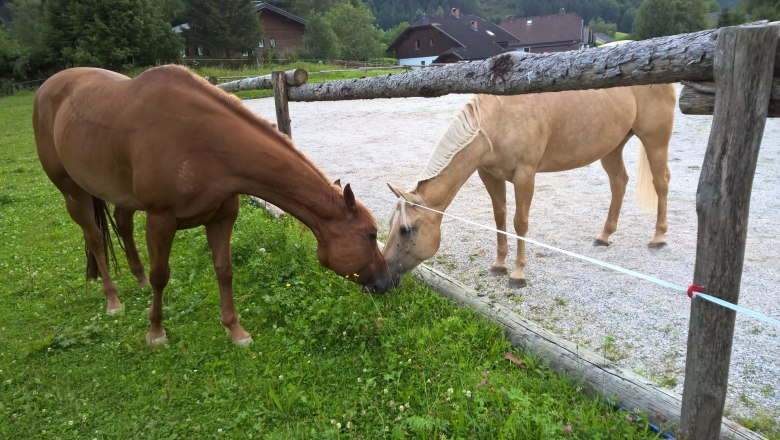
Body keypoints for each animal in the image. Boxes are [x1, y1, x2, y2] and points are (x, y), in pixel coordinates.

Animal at [33, 65, 391, 345]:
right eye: (370, 235)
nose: (388, 282)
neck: (203, 141)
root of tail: (46, 88)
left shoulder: (222, 216)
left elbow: (224, 270)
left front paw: (235, 330)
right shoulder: (160, 219)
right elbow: (162, 274)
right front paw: (155, 331)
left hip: (121, 196)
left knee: (122, 226)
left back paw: (139, 281)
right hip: (72, 192)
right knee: (95, 240)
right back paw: (113, 300)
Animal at [383, 83, 676, 287]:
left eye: (407, 230)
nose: (381, 277)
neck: (499, 117)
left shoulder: (525, 176)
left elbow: (519, 223)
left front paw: (517, 274)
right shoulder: (489, 175)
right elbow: (499, 218)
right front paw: (499, 264)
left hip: (655, 140)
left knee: (661, 182)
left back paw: (659, 237)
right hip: (613, 146)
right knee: (619, 182)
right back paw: (604, 236)